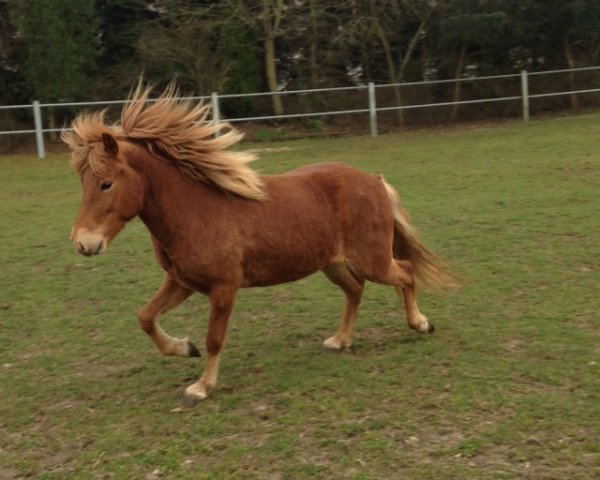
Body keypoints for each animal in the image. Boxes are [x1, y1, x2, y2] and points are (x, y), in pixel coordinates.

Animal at [62, 82, 454, 404]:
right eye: (83, 183)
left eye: (106, 184)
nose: (83, 243)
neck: (194, 211)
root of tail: (374, 180)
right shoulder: (181, 281)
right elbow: (145, 317)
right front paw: (184, 348)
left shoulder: (223, 288)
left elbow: (214, 338)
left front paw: (200, 387)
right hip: (333, 263)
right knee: (355, 290)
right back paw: (339, 340)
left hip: (370, 259)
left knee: (404, 272)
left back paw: (421, 324)